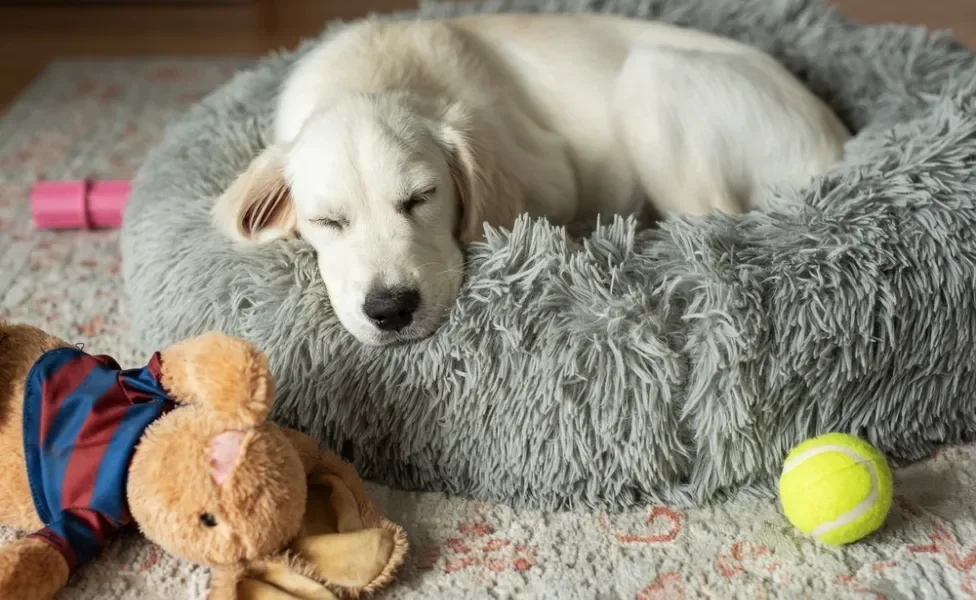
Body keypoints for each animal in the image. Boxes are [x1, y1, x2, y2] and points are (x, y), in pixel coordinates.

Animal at [212, 11, 848, 344]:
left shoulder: (552, 172)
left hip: (653, 76)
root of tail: (838, 142)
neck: (377, 71)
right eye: (326, 221)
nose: (391, 311)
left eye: (422, 198)